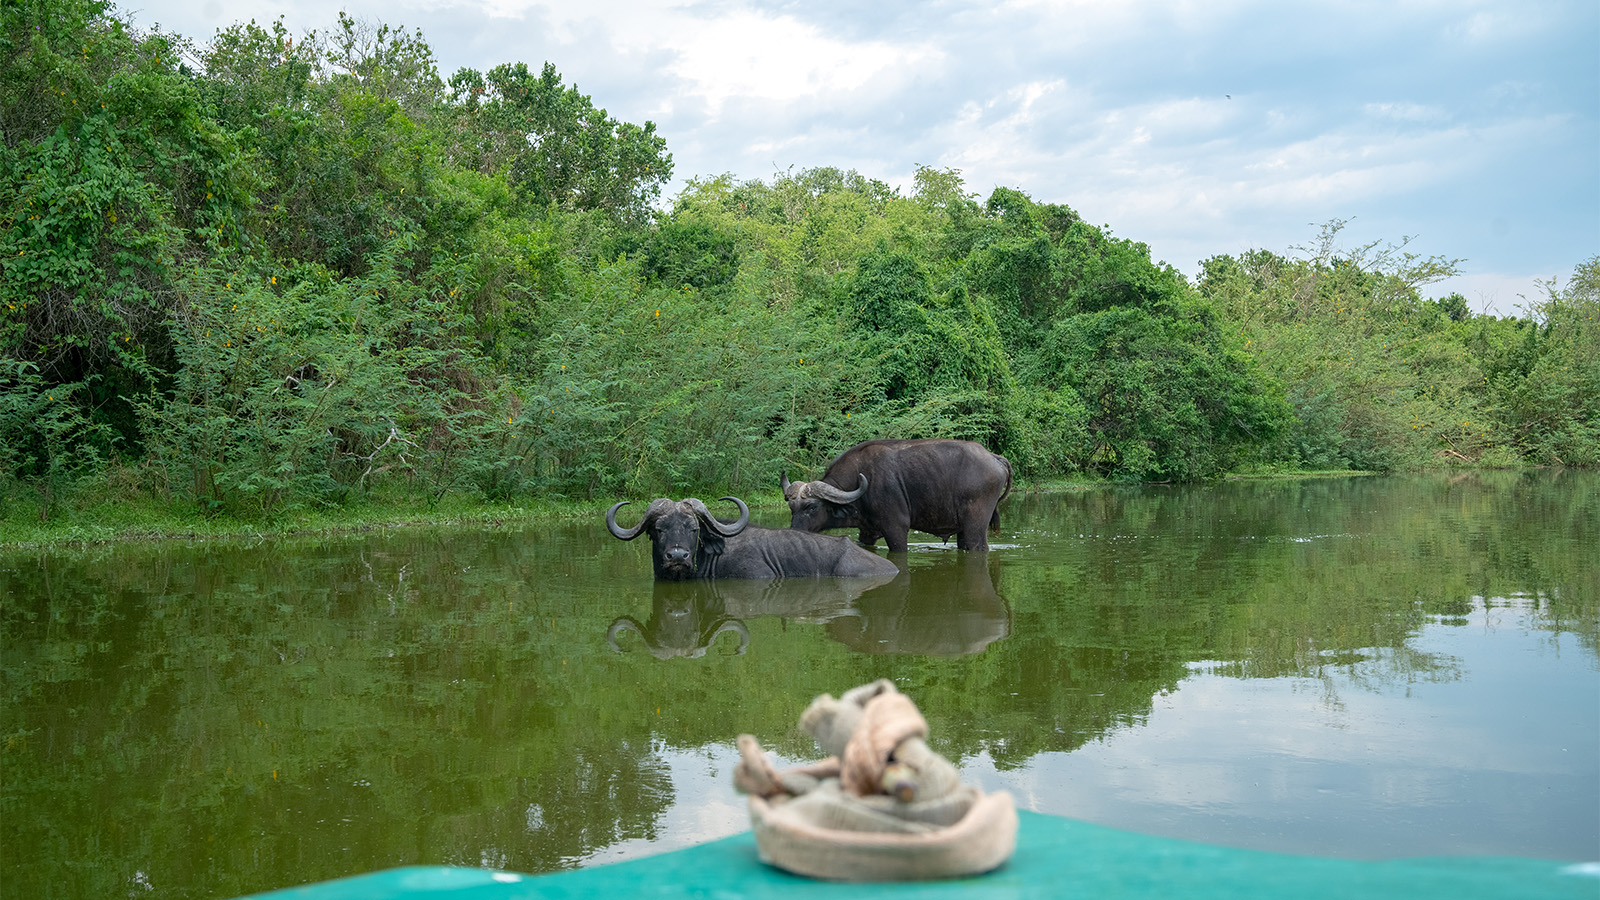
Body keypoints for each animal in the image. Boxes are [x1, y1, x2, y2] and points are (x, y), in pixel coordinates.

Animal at [777, 438, 1011, 550]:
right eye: (791, 508)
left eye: (812, 507)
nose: (793, 531)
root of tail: (994, 457)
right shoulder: (867, 532)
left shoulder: (896, 529)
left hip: (975, 529)